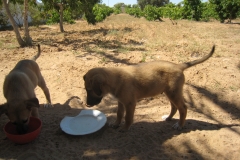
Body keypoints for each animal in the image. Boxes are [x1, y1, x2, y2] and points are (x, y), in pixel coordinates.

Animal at [83, 45, 216, 131]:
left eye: (89, 90)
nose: (87, 104)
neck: (114, 78)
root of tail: (178, 66)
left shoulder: (130, 103)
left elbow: (127, 117)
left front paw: (125, 128)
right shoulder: (121, 101)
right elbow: (119, 114)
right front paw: (116, 124)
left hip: (174, 92)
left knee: (183, 108)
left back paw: (180, 125)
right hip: (170, 93)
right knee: (174, 107)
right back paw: (168, 118)